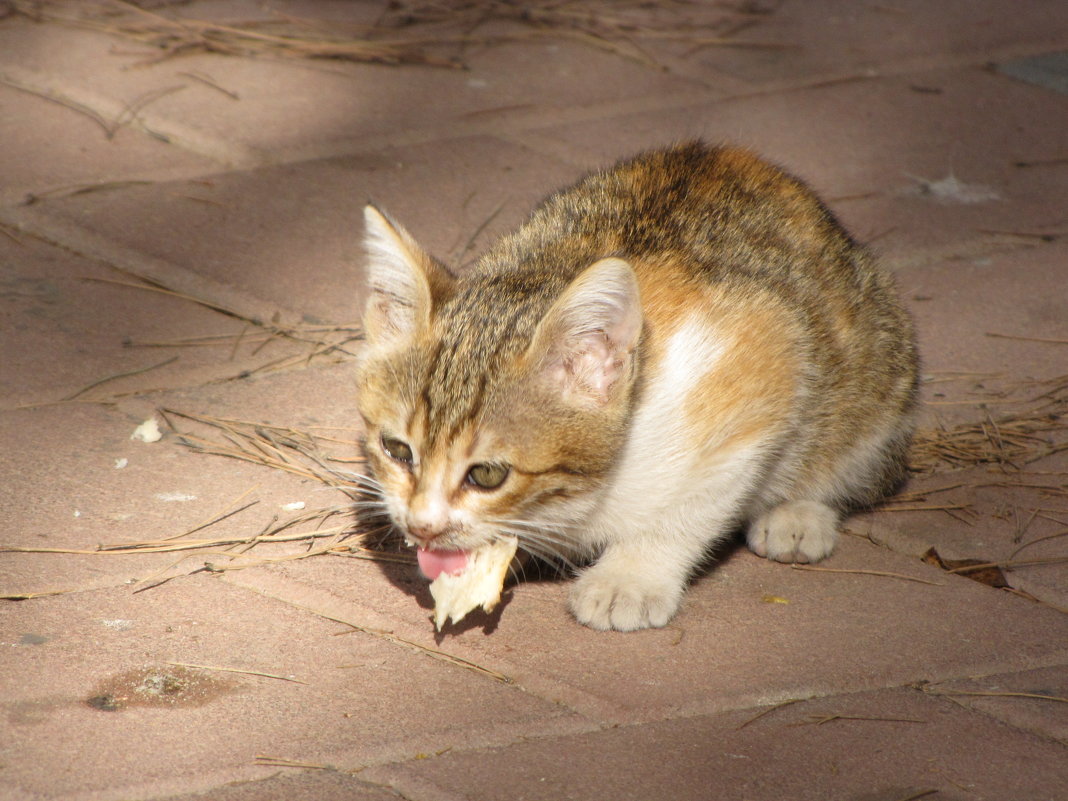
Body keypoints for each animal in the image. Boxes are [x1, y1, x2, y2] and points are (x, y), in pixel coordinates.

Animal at [352, 144, 918, 632]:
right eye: (396, 449)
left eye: (488, 475)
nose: (421, 527)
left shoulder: (761, 357)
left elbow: (698, 500)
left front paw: (631, 577)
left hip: (880, 371)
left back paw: (799, 513)